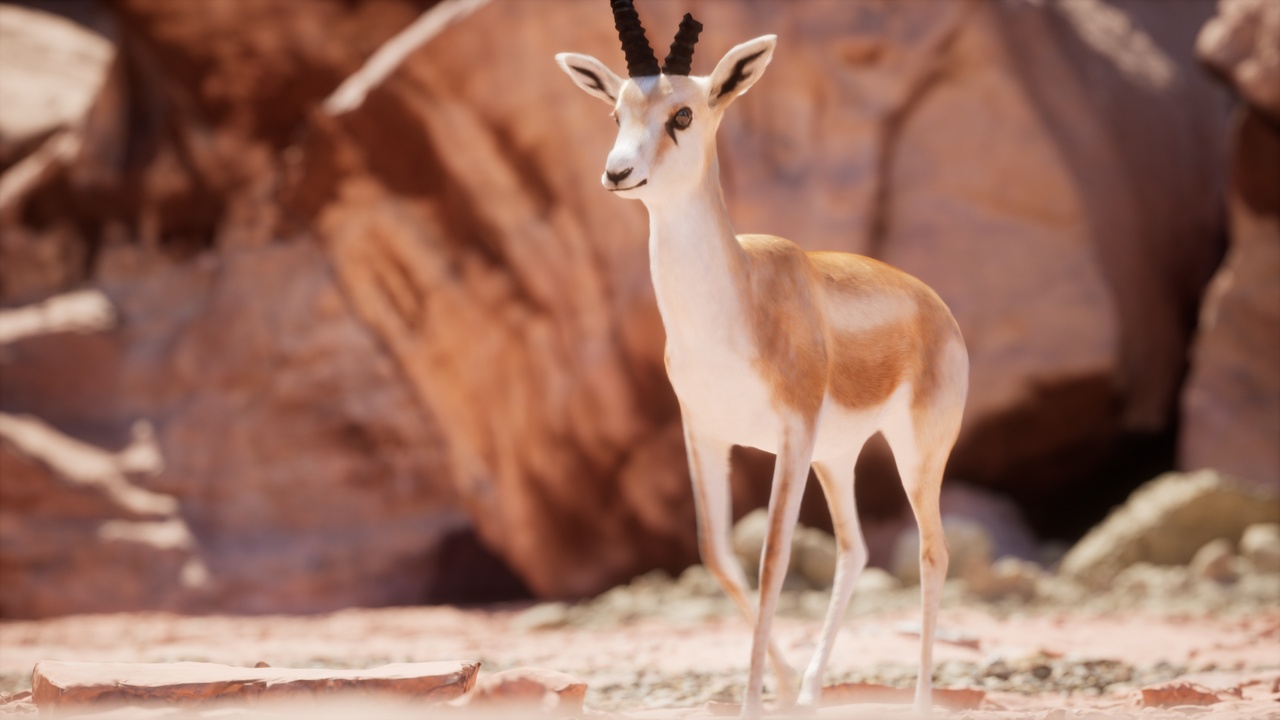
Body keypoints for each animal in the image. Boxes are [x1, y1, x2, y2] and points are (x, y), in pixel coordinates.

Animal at [556, 1, 968, 715]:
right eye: (616, 112)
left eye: (683, 114)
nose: (616, 173)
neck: (739, 300)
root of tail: (937, 307)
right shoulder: (705, 434)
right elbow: (717, 553)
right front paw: (777, 684)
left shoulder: (790, 436)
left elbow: (773, 557)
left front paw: (754, 696)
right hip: (837, 456)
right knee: (855, 550)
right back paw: (810, 689)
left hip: (916, 453)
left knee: (932, 552)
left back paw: (918, 699)